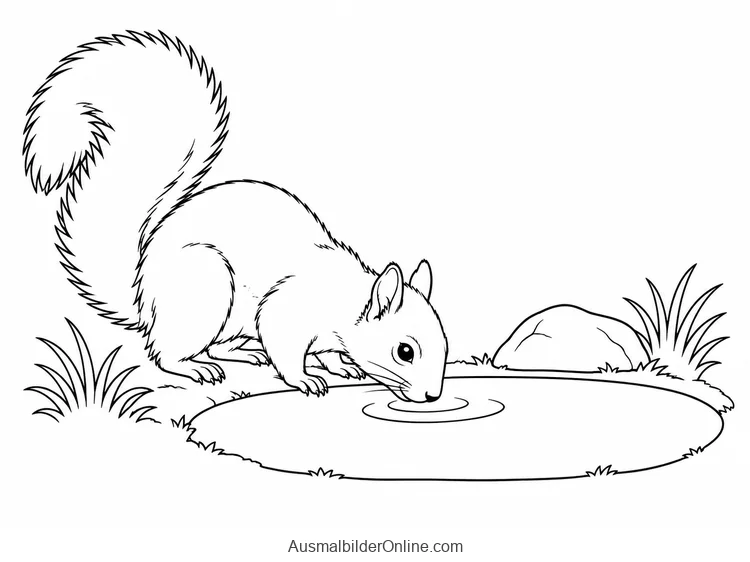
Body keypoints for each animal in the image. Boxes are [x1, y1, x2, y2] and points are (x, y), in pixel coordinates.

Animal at [23, 31, 447, 402]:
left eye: (445, 343)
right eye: (404, 351)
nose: (432, 396)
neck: (342, 298)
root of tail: (145, 299)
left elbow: (327, 351)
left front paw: (341, 365)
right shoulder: (286, 309)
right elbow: (284, 347)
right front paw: (305, 379)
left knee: (214, 347)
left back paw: (242, 354)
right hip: (204, 292)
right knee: (165, 353)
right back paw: (195, 367)